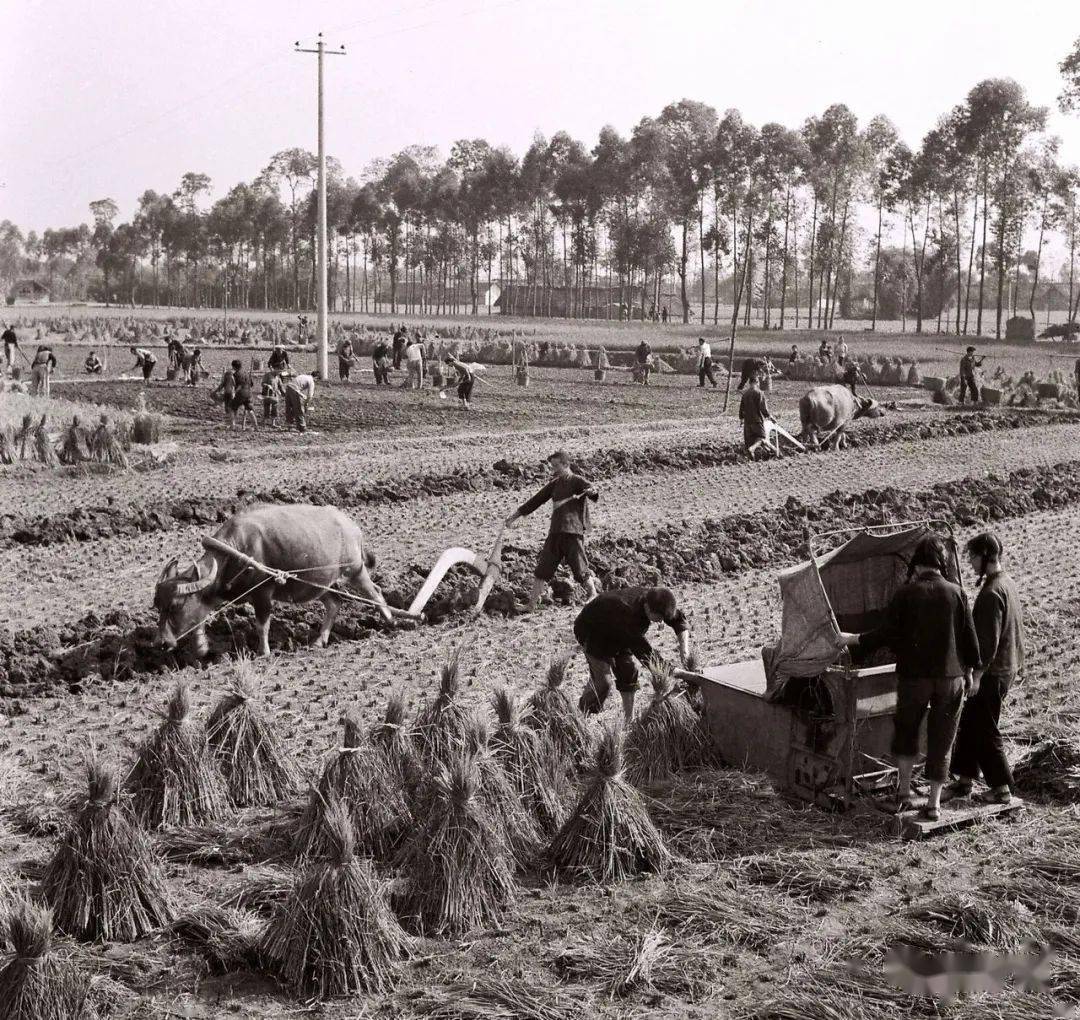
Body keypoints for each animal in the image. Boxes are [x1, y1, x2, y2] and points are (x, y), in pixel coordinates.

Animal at [150, 503, 390, 661]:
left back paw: (390, 621)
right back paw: (319, 641)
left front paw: (263, 652)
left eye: (175, 606)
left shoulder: (263, 593)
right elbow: (199, 619)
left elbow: (262, 624)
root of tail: (353, 528)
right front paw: (201, 649)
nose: (161, 643)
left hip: (355, 570)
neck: (237, 552)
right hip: (320, 584)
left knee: (375, 591)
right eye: (158, 605)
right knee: (335, 603)